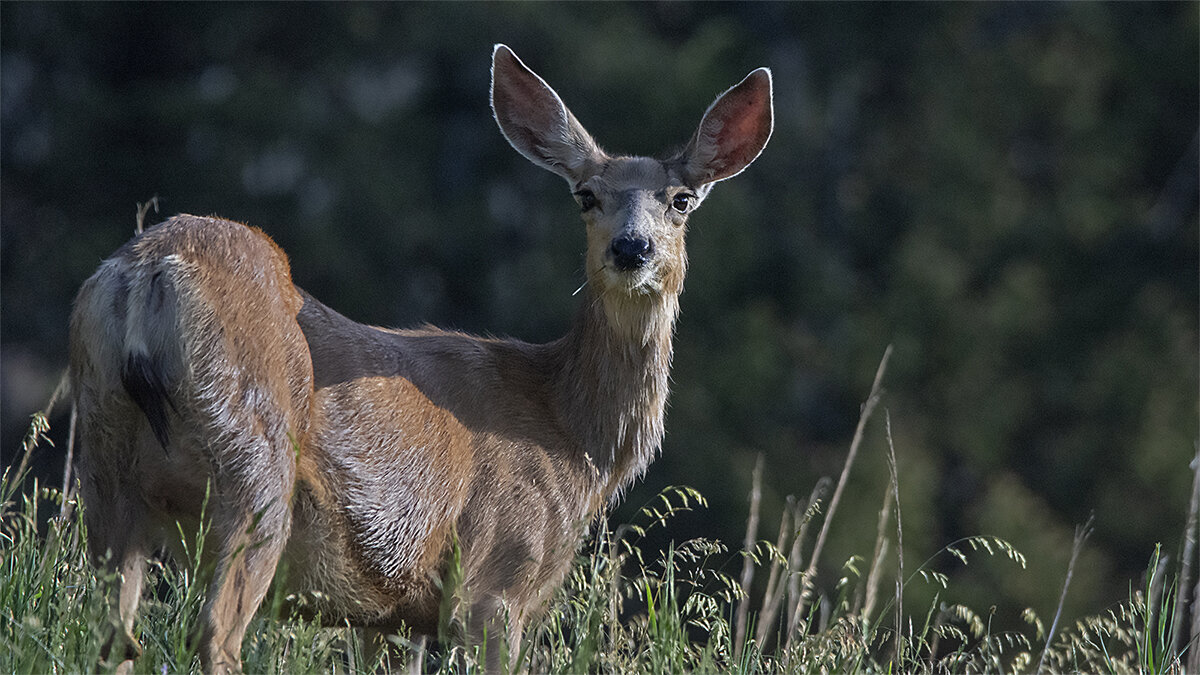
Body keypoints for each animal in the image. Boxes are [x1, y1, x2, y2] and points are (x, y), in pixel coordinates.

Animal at [68, 44, 777, 667]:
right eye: (586, 195)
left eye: (681, 200)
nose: (631, 249)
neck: (571, 435)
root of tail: (148, 273)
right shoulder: (493, 578)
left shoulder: (391, 614)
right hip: (255, 460)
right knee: (213, 632)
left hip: (106, 460)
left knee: (111, 632)